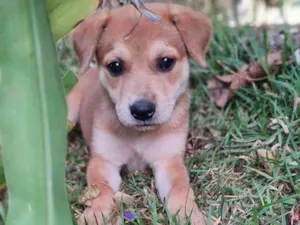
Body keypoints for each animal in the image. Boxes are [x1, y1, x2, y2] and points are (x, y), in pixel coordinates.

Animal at [67, 2, 212, 224]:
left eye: (166, 61)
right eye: (115, 66)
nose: (142, 111)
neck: (138, 135)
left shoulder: (168, 160)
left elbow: (180, 190)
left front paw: (190, 215)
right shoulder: (104, 161)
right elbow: (101, 190)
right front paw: (93, 215)